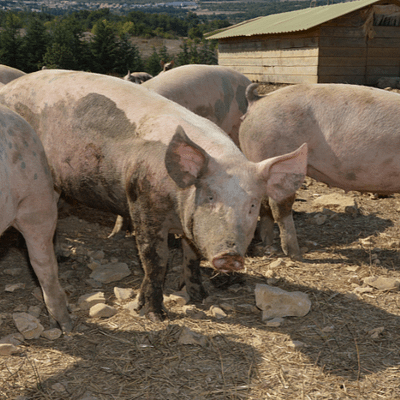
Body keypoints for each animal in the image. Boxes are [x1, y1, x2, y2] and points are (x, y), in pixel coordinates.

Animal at [239, 82, 400, 260]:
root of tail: (257, 100)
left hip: (258, 160)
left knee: (264, 202)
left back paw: (268, 243)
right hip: (281, 158)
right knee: (280, 205)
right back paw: (296, 253)